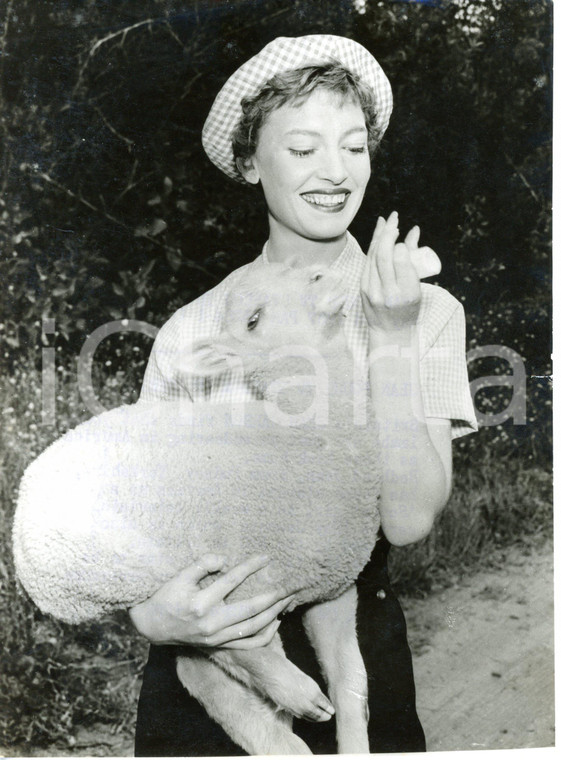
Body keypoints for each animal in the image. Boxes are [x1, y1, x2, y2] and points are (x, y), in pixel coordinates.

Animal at [13, 262, 382, 756]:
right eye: (253, 320)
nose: (323, 275)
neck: (309, 434)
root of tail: (20, 513)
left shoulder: (332, 586)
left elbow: (351, 681)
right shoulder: (249, 584)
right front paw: (297, 702)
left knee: (200, 669)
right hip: (136, 568)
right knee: (215, 660)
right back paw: (297, 700)